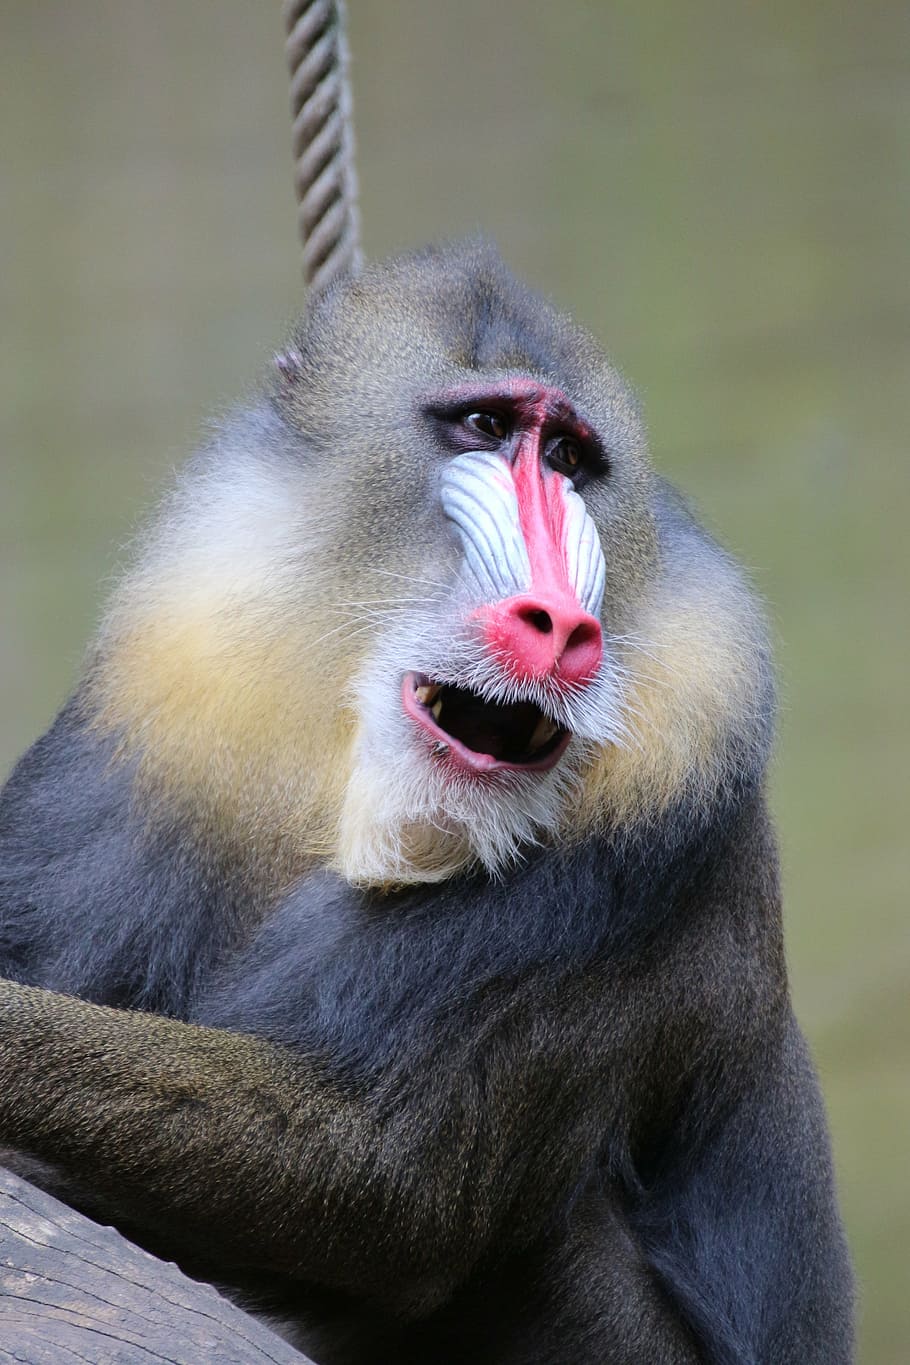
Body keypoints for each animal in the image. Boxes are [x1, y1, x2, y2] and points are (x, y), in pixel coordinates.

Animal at [0, 241, 853, 1364]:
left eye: (568, 456)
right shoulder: (176, 681)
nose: (558, 623)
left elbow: (378, 1170)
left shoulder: (672, 765)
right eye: (484, 426)